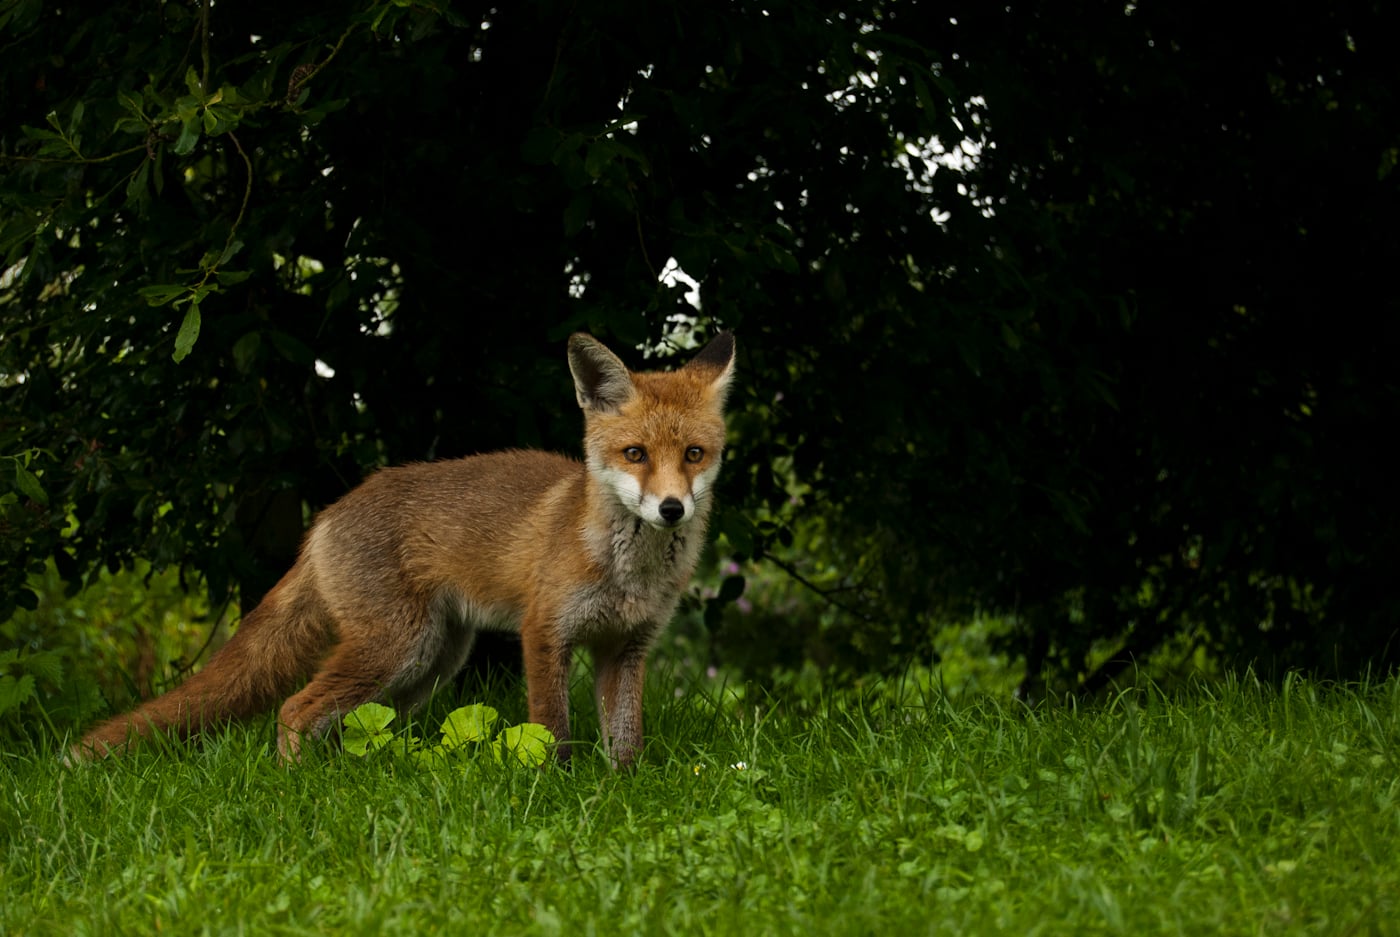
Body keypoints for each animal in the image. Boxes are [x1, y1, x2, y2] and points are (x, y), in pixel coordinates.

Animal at [73, 331, 735, 768]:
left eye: (693, 455)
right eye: (635, 454)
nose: (671, 509)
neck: (628, 572)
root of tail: (328, 516)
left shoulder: (625, 647)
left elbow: (625, 738)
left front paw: (622, 788)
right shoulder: (544, 632)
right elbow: (552, 727)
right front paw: (556, 786)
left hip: (430, 661)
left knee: (365, 723)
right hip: (397, 646)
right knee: (294, 709)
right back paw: (296, 786)